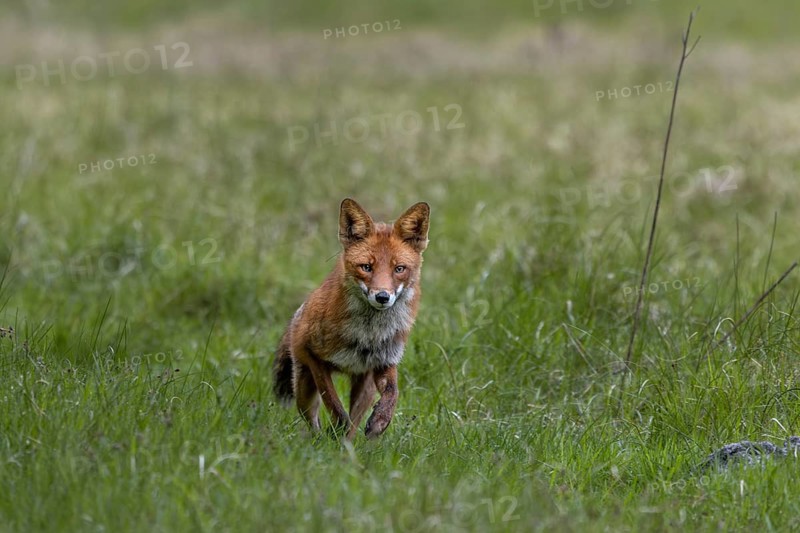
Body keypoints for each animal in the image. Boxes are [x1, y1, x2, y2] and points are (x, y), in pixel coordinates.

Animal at [272, 198, 430, 439]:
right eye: (366, 267)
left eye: (399, 269)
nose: (382, 296)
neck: (368, 334)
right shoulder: (315, 357)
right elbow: (333, 401)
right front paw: (337, 427)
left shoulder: (385, 362)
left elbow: (392, 393)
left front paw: (380, 421)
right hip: (304, 387)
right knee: (312, 418)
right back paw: (318, 439)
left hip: (364, 387)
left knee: (356, 420)